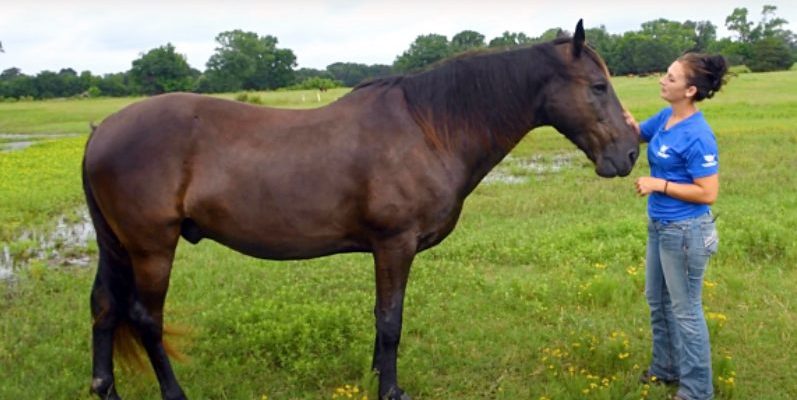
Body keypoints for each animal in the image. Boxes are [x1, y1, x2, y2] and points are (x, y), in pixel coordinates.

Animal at [84, 21, 636, 400]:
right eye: (598, 87)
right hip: (152, 247)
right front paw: (390, 389)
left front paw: (374, 375)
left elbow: (382, 317)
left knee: (106, 308)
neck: (427, 129)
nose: (630, 153)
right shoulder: (394, 243)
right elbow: (390, 318)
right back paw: (173, 392)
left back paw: (105, 388)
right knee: (145, 317)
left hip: (119, 248)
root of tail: (101, 131)